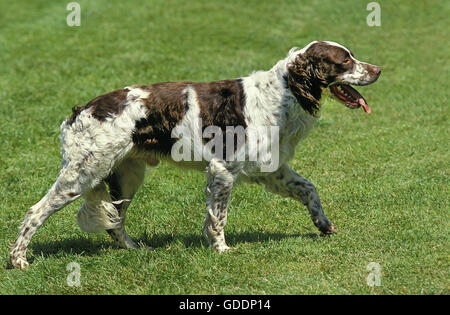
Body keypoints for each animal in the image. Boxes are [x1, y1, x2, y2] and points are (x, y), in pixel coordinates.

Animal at [9, 41, 380, 270]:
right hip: (83, 173)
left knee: (115, 223)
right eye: (345, 60)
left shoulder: (271, 169)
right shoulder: (223, 169)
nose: (378, 70)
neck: (281, 94)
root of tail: (78, 112)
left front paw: (324, 225)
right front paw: (221, 250)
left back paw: (136, 249)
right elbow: (218, 218)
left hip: (126, 176)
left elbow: (309, 189)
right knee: (35, 212)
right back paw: (18, 260)